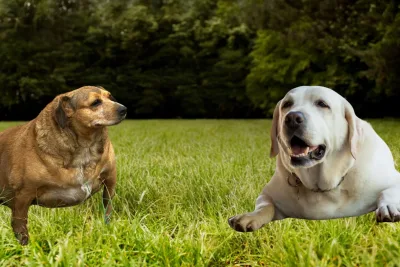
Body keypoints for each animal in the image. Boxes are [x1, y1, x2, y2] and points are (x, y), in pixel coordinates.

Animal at [0, 86, 126, 245]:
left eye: (110, 97)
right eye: (95, 102)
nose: (124, 109)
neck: (86, 147)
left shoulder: (110, 182)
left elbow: (108, 210)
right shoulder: (22, 197)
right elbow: (20, 229)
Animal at [228, 86, 400, 232]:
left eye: (322, 104)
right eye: (287, 104)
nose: (292, 118)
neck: (321, 186)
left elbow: (388, 192)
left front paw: (389, 206)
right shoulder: (268, 194)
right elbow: (265, 205)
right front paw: (249, 217)